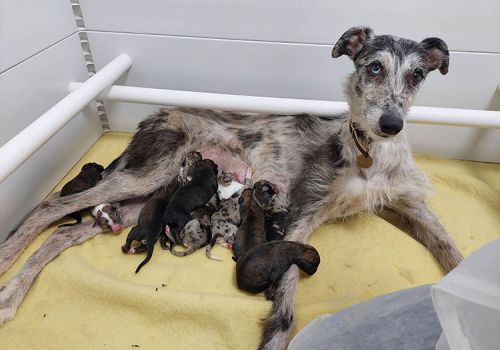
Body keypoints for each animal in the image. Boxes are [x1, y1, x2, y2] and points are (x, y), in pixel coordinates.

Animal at [0, 26, 462, 348]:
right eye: (374, 67)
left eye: (418, 74)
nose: (391, 124)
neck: (370, 154)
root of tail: (151, 119)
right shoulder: (302, 212)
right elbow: (287, 298)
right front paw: (275, 337)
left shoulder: (410, 205)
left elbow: (451, 251)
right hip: (146, 173)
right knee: (48, 208)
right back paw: (8, 267)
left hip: (144, 200)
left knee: (67, 233)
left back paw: (14, 290)